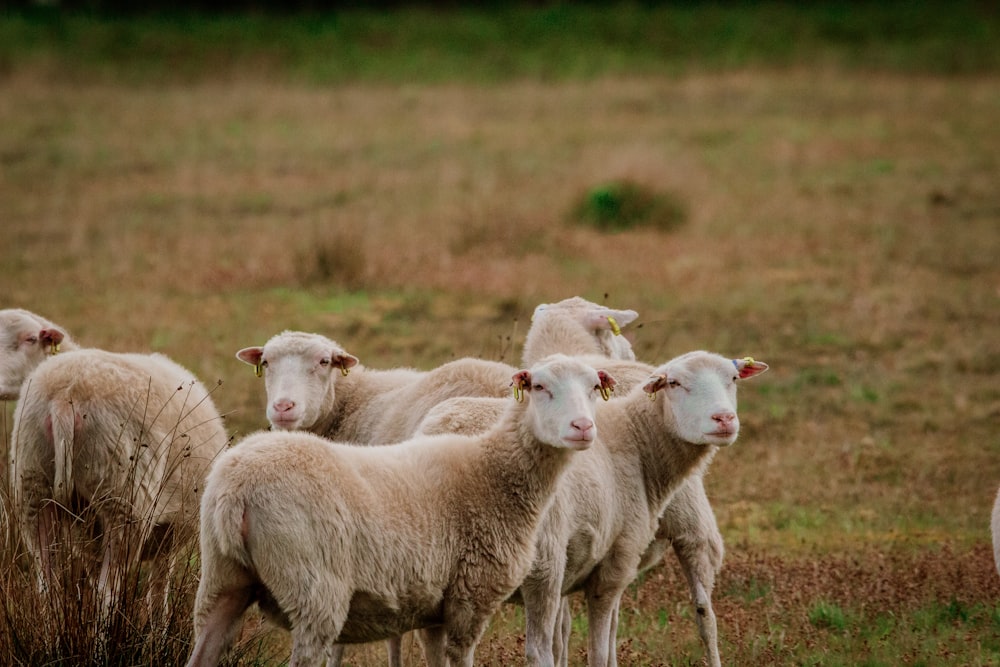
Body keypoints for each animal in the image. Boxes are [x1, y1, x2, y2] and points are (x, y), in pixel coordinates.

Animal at [9, 350, 229, 616]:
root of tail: (65, 397)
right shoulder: (169, 532)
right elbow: (158, 591)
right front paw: (157, 625)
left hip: (32, 484)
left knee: (48, 581)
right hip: (124, 495)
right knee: (107, 589)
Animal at [183, 354, 612, 667]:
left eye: (594, 388)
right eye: (539, 386)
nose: (583, 427)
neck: (491, 469)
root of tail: (237, 488)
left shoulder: (436, 606)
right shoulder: (470, 597)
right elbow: (461, 658)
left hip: (222, 580)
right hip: (312, 589)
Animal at [414, 352, 764, 664]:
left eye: (733, 379)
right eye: (675, 383)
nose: (724, 420)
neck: (638, 440)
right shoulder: (616, 561)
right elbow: (601, 646)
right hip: (542, 561)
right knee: (535, 650)